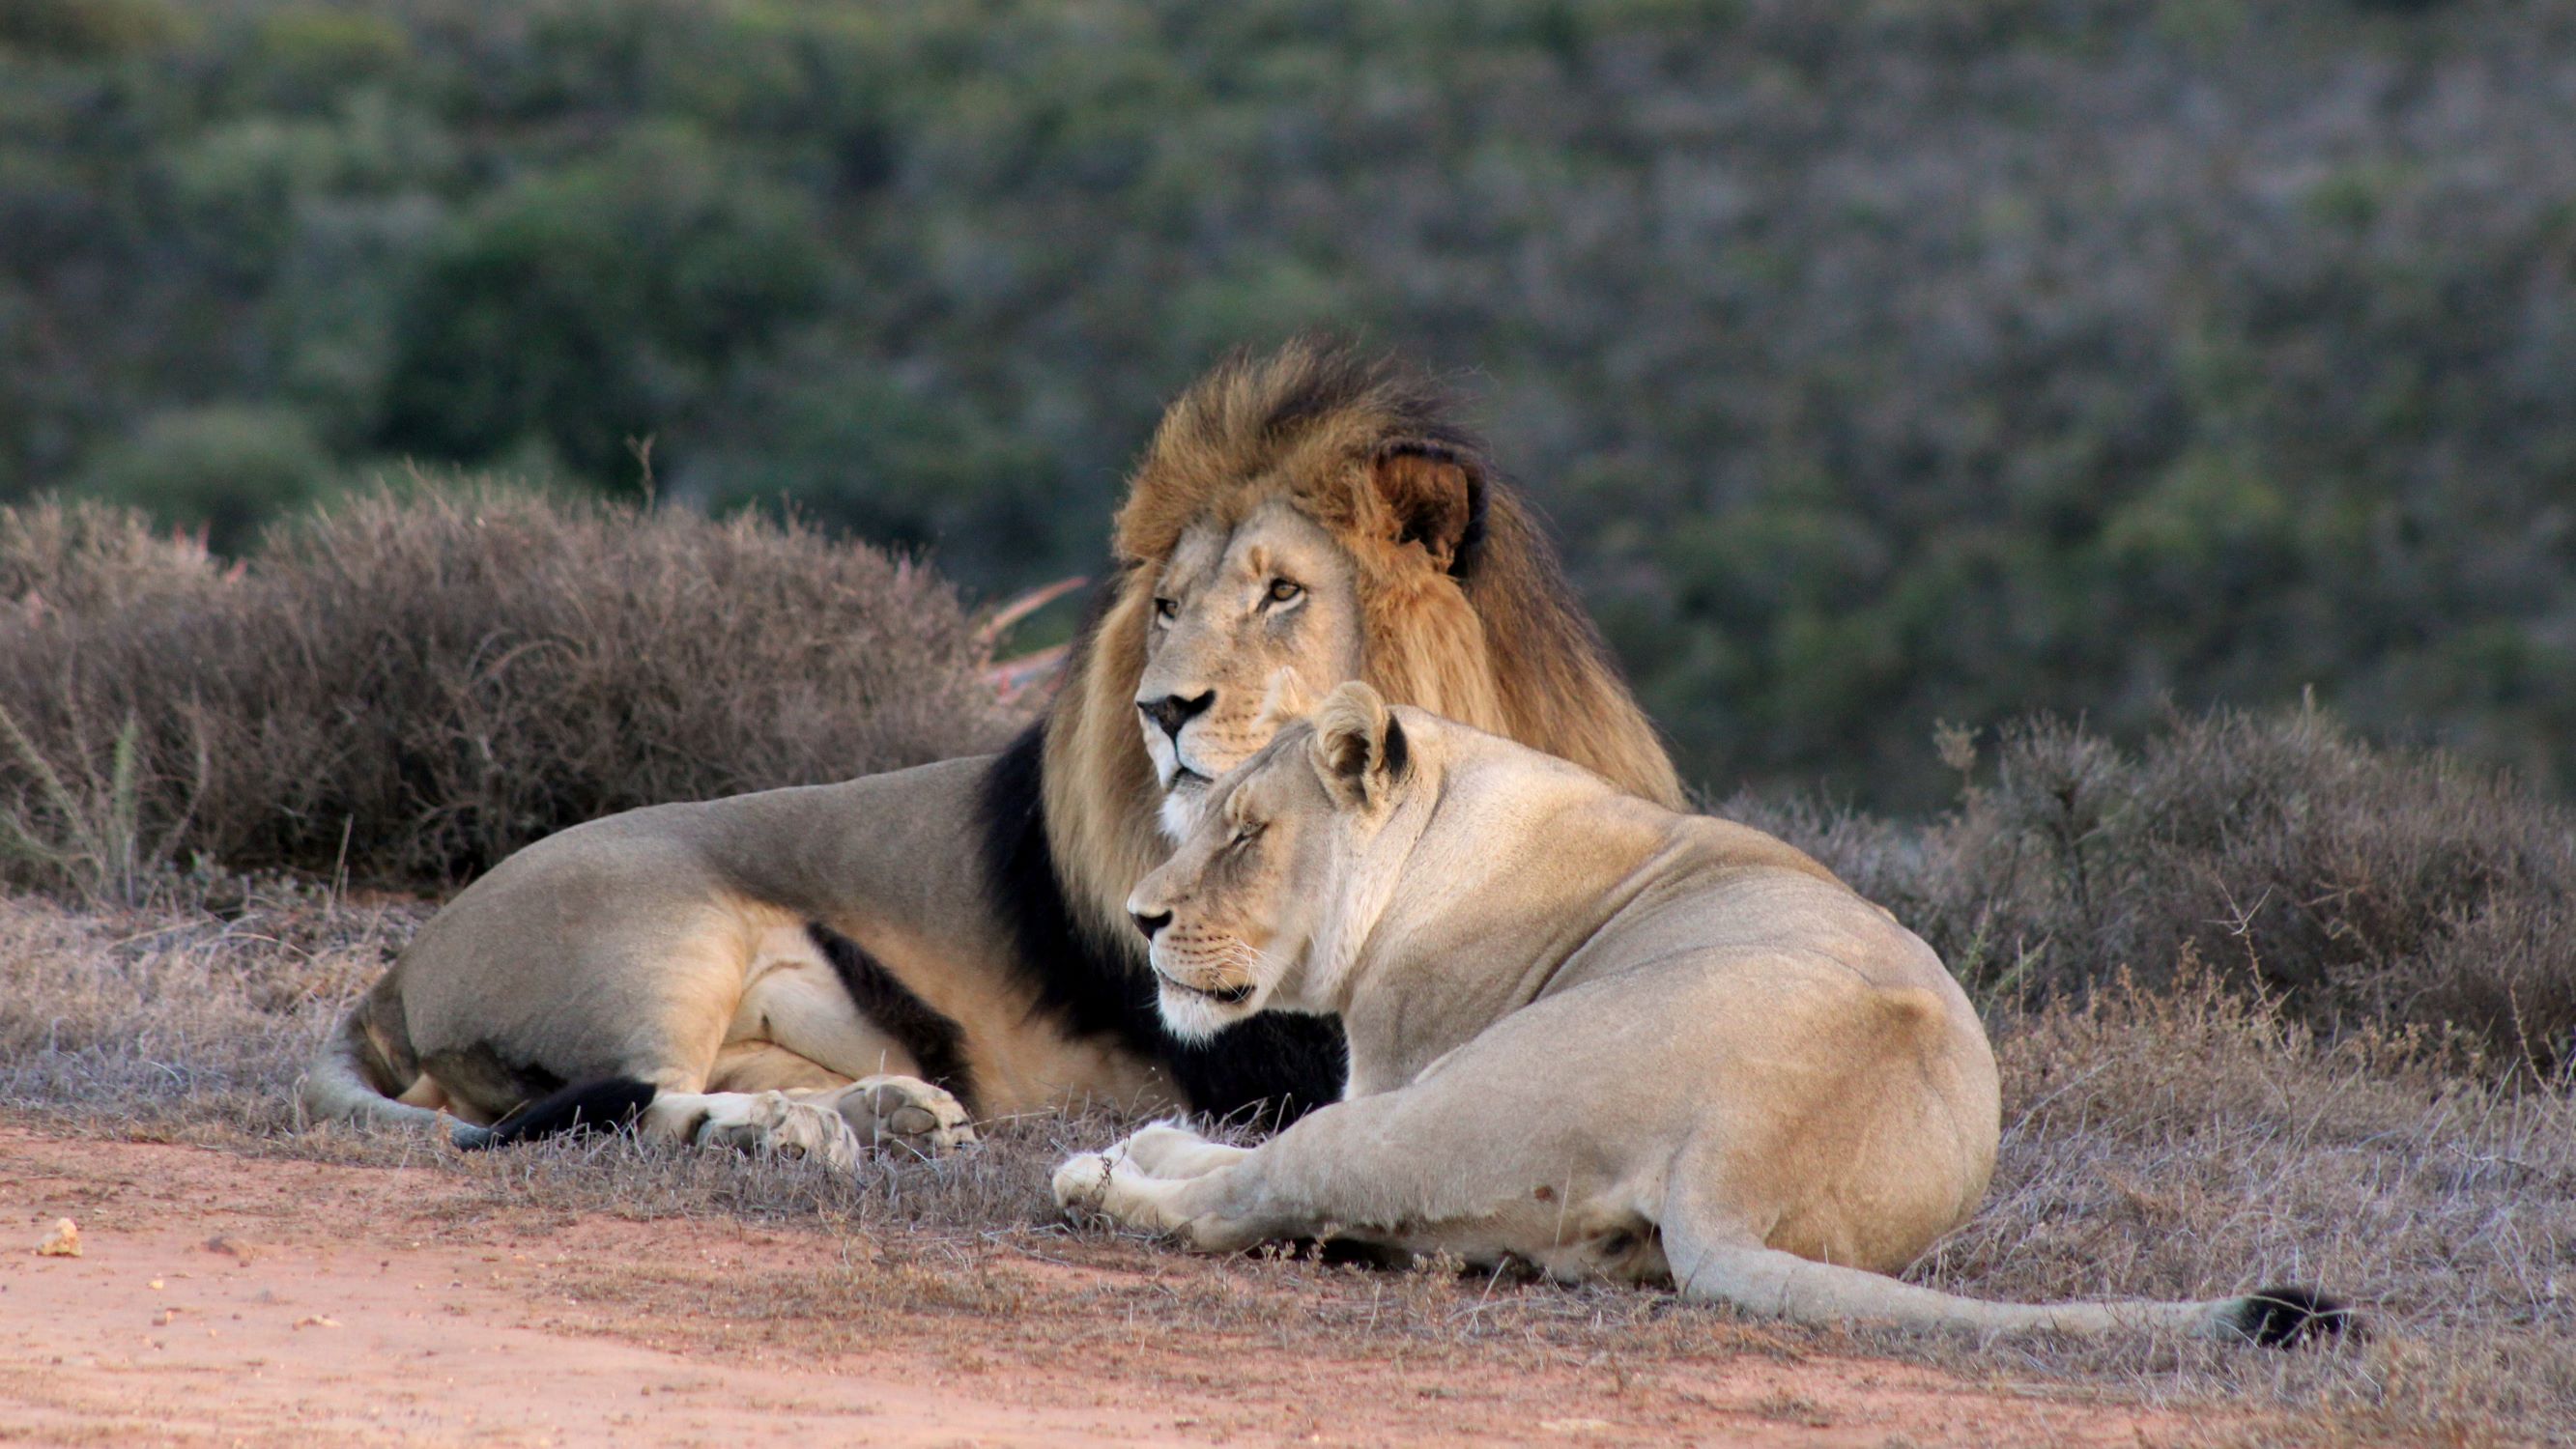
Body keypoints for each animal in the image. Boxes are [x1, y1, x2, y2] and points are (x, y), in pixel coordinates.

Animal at [300, 341, 1684, 1164]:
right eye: (1167, 606)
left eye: (1282, 593)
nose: (1162, 709)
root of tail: (395, 976)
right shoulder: (1265, 1062)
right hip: (658, 936)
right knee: (604, 1103)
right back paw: (801, 1136)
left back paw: (885, 1110)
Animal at [1053, 683, 2353, 1345]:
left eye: (1246, 835)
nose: (1141, 917)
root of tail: (1755, 1136)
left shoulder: (1396, 1071)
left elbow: (1252, 1165)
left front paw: (1138, 1155)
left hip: (1455, 1104)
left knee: (1248, 1201)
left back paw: (1103, 1179)